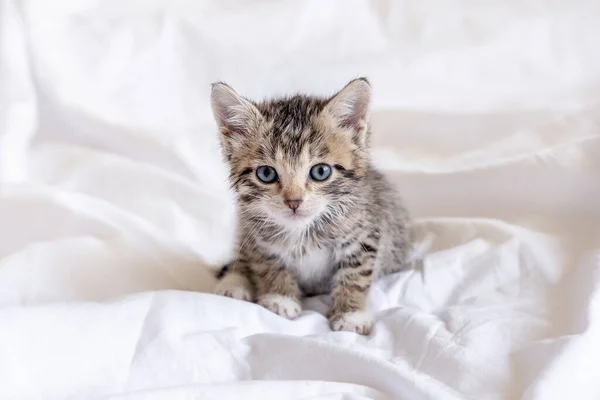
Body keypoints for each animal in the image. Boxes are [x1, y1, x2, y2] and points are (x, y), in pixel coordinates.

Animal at [209, 78, 410, 334]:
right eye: (266, 174)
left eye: (320, 171)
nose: (293, 201)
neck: (304, 232)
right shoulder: (257, 236)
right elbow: (267, 264)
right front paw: (281, 298)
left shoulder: (366, 233)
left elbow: (356, 274)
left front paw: (351, 313)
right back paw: (235, 282)